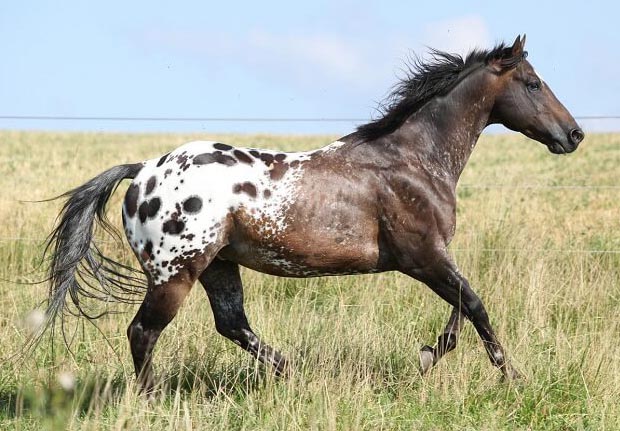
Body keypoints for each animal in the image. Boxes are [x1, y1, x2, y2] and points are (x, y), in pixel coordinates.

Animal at [42, 35, 580, 390]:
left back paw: (294, 375)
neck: (412, 158)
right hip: (177, 272)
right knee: (144, 332)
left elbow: (462, 308)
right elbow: (476, 305)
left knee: (232, 324)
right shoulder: (423, 256)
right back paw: (151, 398)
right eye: (533, 83)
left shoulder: (433, 257)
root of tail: (142, 172)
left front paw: (430, 354)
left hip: (219, 264)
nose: (573, 134)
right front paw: (513, 377)